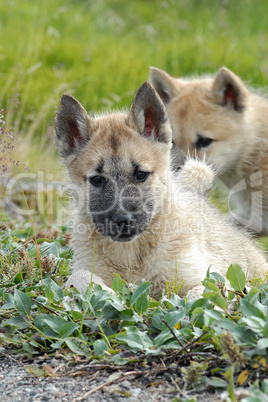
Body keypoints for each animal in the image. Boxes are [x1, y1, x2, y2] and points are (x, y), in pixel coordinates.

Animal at [55, 81, 266, 298]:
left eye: (141, 174)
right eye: (97, 179)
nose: (122, 221)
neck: (131, 255)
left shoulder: (206, 279)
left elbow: (197, 296)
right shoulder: (86, 268)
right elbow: (79, 277)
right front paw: (109, 295)